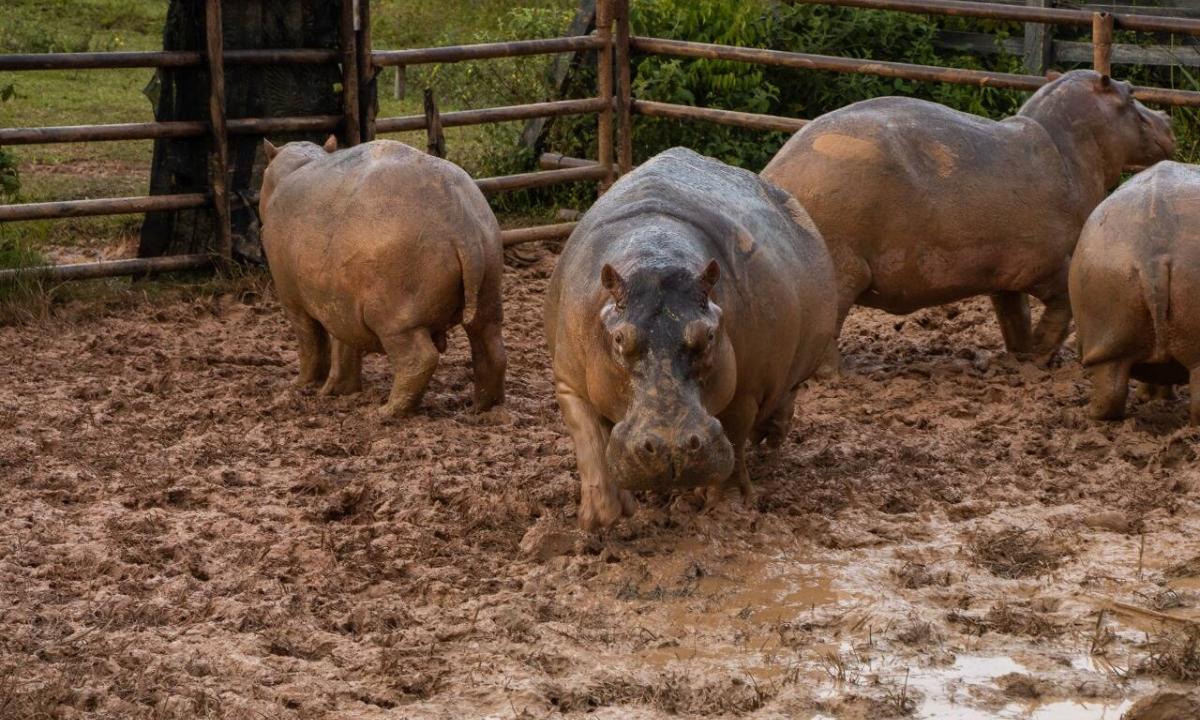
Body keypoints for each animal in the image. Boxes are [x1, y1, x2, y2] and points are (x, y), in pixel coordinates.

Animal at [260, 139, 504, 415]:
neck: (295, 166)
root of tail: (462, 226)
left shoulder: (293, 301)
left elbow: (311, 343)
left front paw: (300, 385)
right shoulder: (340, 304)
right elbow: (343, 347)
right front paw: (338, 391)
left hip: (394, 318)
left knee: (419, 359)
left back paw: (385, 412)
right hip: (488, 288)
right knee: (491, 347)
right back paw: (480, 408)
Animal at [544, 147, 835, 528]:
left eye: (708, 334)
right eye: (620, 339)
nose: (671, 448)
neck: (654, 256)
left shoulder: (745, 388)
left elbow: (734, 437)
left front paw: (729, 508)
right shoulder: (570, 382)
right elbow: (590, 442)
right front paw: (602, 518)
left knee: (784, 396)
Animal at [763, 70, 1176, 369]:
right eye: (1130, 92)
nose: (1168, 116)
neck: (1070, 148)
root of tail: (774, 175)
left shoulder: (1006, 276)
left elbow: (1014, 317)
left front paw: (1022, 357)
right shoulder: (1050, 265)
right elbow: (1064, 304)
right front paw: (1041, 356)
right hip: (842, 268)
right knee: (827, 331)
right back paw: (837, 374)